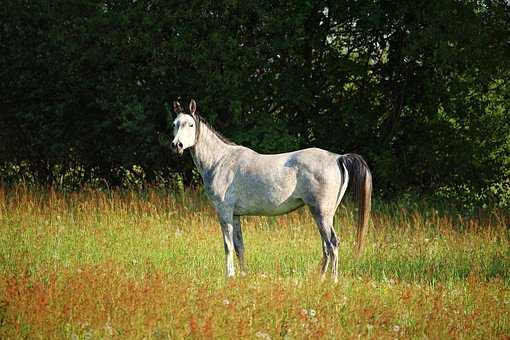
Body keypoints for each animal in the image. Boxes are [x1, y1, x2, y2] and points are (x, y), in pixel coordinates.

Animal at [169, 99, 372, 282]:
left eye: (190, 124)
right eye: (175, 124)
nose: (176, 145)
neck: (220, 161)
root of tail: (337, 157)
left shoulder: (224, 212)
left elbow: (228, 246)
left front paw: (230, 276)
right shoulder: (236, 215)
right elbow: (239, 246)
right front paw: (243, 275)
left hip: (322, 213)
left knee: (333, 244)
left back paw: (333, 280)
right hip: (323, 215)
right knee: (326, 246)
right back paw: (320, 278)